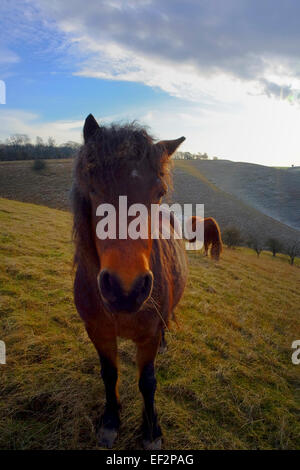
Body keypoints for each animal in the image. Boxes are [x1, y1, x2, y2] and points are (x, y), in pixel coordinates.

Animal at [72, 115, 188, 450]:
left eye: (159, 192)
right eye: (93, 187)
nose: (127, 290)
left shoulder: (148, 336)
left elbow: (147, 382)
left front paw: (151, 430)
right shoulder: (98, 332)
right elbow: (109, 374)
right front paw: (111, 421)